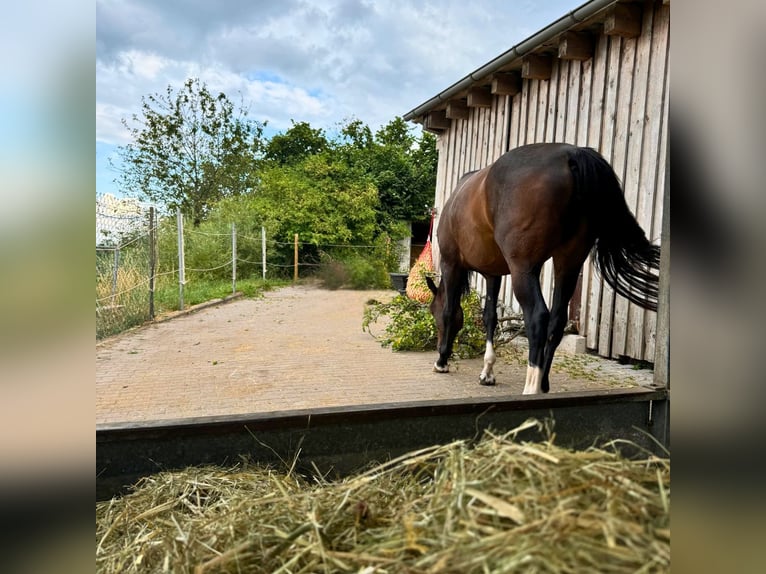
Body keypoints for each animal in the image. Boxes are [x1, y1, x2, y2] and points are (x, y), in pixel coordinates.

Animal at [426, 144, 660, 396]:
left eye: (432, 312)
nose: (438, 349)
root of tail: (572, 155)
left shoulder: (451, 264)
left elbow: (450, 311)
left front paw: (441, 361)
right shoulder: (493, 274)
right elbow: (490, 316)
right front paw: (487, 372)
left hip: (523, 270)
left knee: (538, 318)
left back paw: (532, 388)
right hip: (568, 264)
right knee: (556, 321)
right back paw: (544, 383)